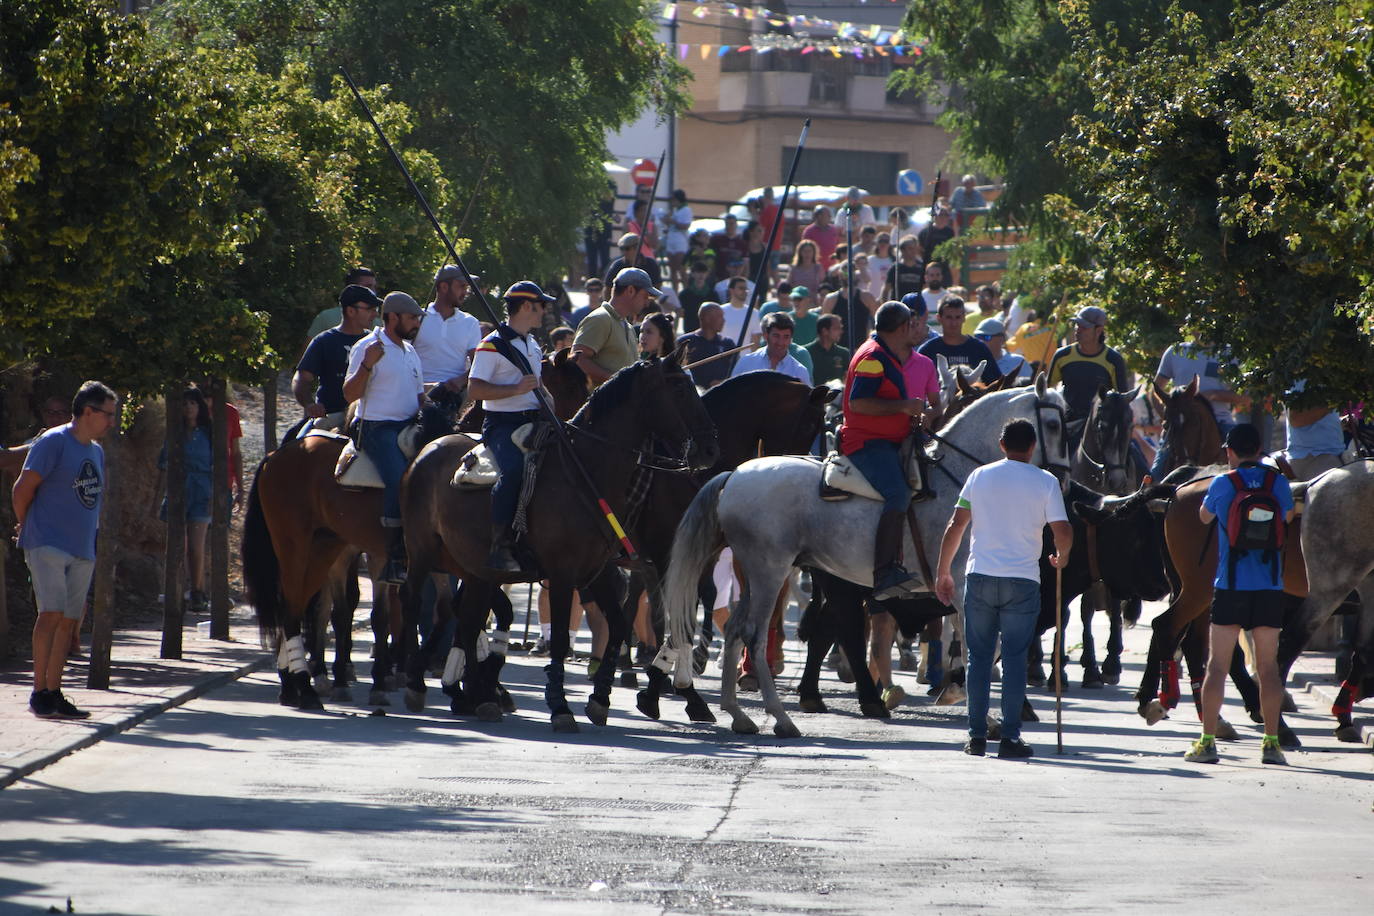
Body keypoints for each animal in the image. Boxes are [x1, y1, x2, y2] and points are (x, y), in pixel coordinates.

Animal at [659, 373, 1066, 736]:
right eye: (1052, 424)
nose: (1062, 479)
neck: (959, 476)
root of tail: (735, 475)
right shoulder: (966, 587)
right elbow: (980, 648)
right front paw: (984, 715)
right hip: (770, 571)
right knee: (756, 635)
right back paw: (782, 717)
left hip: (759, 574)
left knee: (736, 632)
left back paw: (738, 714)